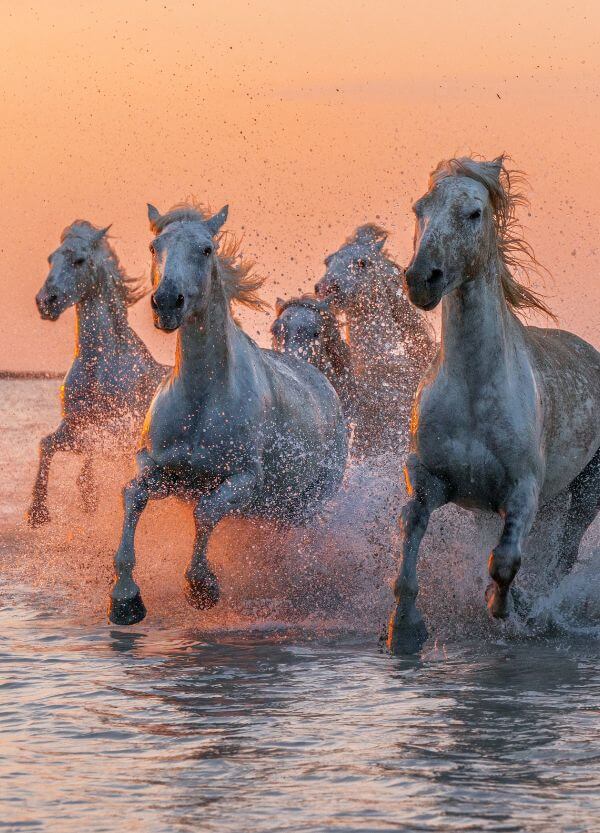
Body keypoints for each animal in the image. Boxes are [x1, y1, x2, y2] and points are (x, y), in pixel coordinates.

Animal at [109, 205, 346, 624]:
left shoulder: (244, 479)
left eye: (206, 249)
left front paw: (202, 587)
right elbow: (133, 495)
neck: (201, 401)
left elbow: (206, 512)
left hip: (306, 504)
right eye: (155, 246)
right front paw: (125, 599)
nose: (167, 302)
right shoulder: (159, 468)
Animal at [386, 154, 600, 648]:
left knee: (562, 556)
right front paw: (404, 628)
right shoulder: (432, 479)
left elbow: (504, 561)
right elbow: (411, 530)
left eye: (474, 213)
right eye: (419, 209)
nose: (421, 279)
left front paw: (500, 606)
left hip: (586, 493)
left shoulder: (523, 490)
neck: (472, 390)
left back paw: (540, 611)